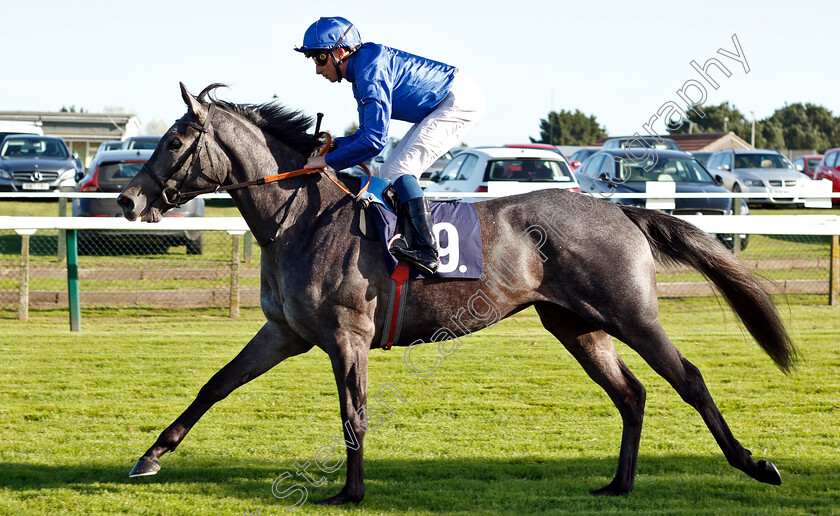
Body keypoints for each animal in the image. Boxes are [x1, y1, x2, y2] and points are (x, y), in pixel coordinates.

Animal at [116, 83, 796, 504]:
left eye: (174, 142)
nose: (128, 198)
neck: (302, 218)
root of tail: (620, 210)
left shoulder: (347, 335)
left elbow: (353, 412)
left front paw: (351, 492)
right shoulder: (284, 332)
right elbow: (215, 385)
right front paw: (149, 457)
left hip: (631, 314)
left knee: (690, 379)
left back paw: (754, 464)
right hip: (575, 325)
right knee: (631, 393)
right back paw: (618, 485)